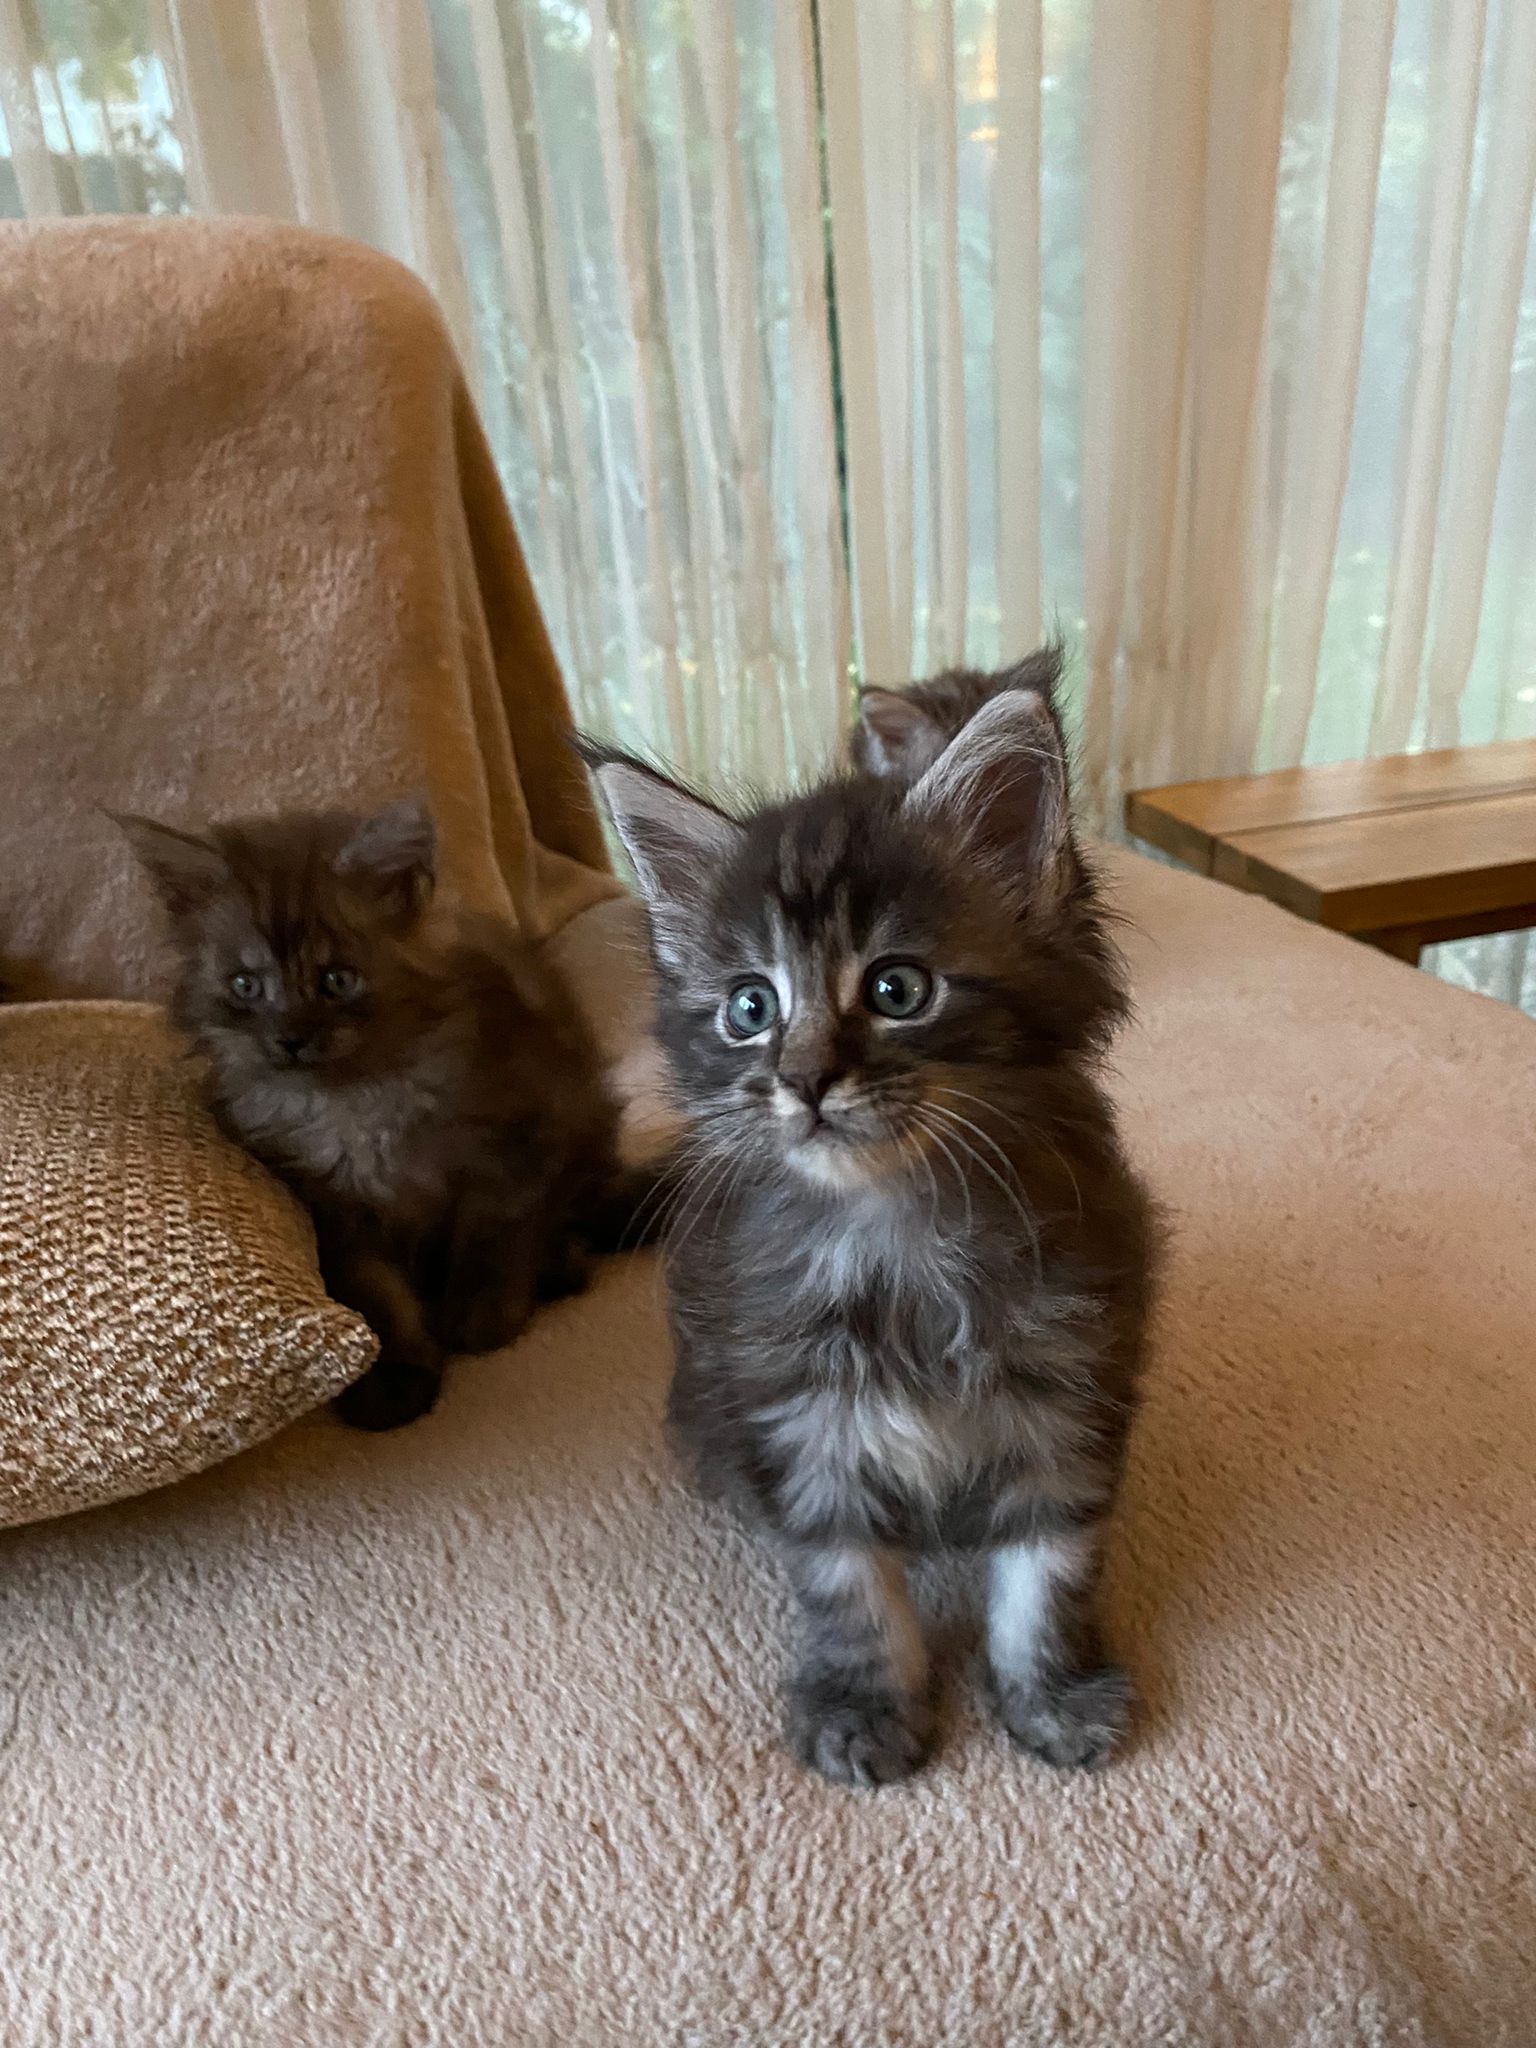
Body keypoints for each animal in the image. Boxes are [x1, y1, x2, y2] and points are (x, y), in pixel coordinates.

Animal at [121, 790, 643, 1433]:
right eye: (245, 986)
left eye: (338, 980)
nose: (291, 1038)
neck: (352, 1101)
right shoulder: (337, 1213)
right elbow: (380, 1296)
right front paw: (397, 1375)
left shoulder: (526, 1134)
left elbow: (494, 1232)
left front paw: (480, 1314)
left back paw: (560, 1263)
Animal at [581, 684, 1163, 1777]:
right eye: (749, 1008)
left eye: (898, 990)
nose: (803, 1080)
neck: (893, 1235)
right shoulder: (803, 1422)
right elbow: (849, 1589)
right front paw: (864, 1707)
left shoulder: (1063, 1396)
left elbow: (1047, 1576)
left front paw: (1051, 1696)